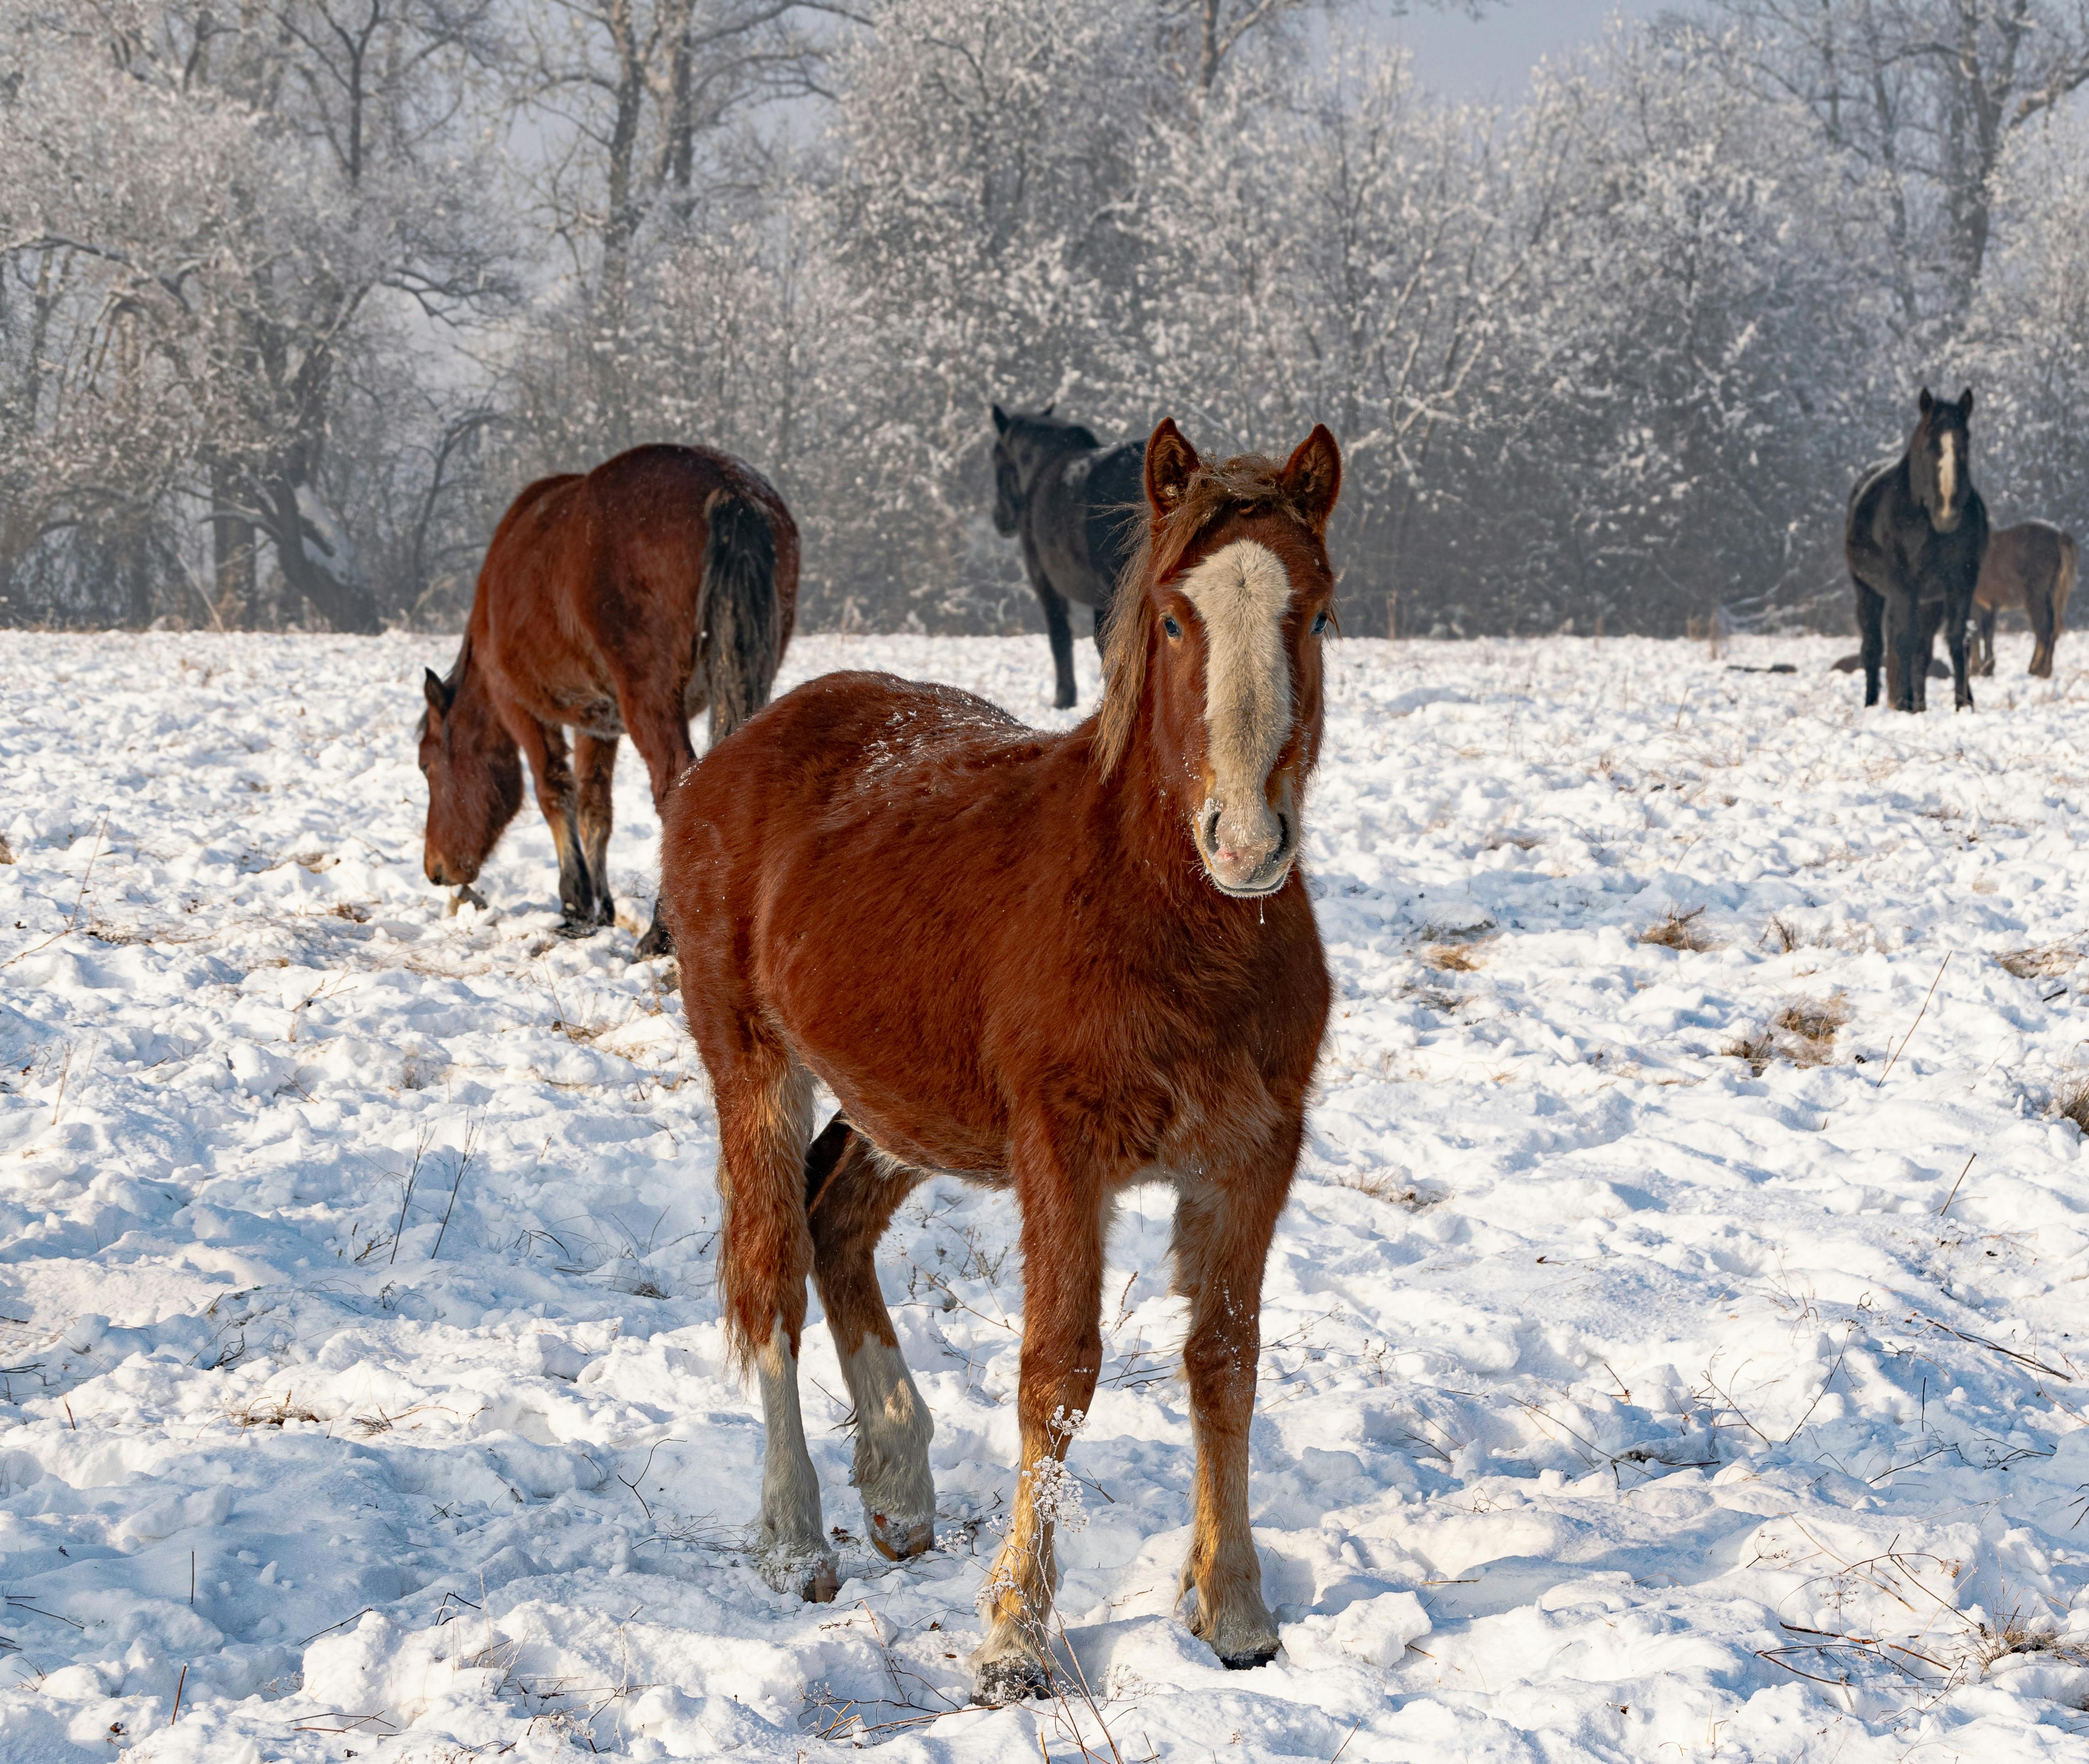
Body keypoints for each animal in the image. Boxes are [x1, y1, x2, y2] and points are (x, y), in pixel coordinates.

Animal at [418, 444, 797, 955]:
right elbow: (595, 807)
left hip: (649, 701)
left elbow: (554, 792)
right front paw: (600, 908)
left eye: (426, 765)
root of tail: (729, 486)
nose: (436, 869)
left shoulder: (522, 709)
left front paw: (575, 906)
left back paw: (661, 933)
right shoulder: (597, 722)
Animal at [991, 404, 1147, 709]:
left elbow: (1061, 637)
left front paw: (1064, 699)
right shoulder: (1100, 599)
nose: (1000, 519)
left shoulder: (1045, 583)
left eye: (996, 460)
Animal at [1845, 387, 1988, 713]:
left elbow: (1956, 640)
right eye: (1928, 446)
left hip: (1929, 601)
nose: (1947, 514)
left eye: (1965, 443)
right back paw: (1874, 704)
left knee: (1922, 651)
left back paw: (1918, 704)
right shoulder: (1903, 586)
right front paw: (1905, 704)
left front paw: (1963, 706)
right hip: (1868, 591)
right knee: (1875, 648)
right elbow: (1904, 642)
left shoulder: (1961, 584)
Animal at [1972, 519, 2076, 679]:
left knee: (2043, 631)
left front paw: (1977, 670)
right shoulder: (1988, 605)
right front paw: (1986, 669)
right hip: (2053, 597)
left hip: (2036, 598)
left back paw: (2036, 669)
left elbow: (1976, 635)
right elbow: (1987, 634)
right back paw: (2044, 670)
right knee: (2052, 631)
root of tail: (2060, 537)